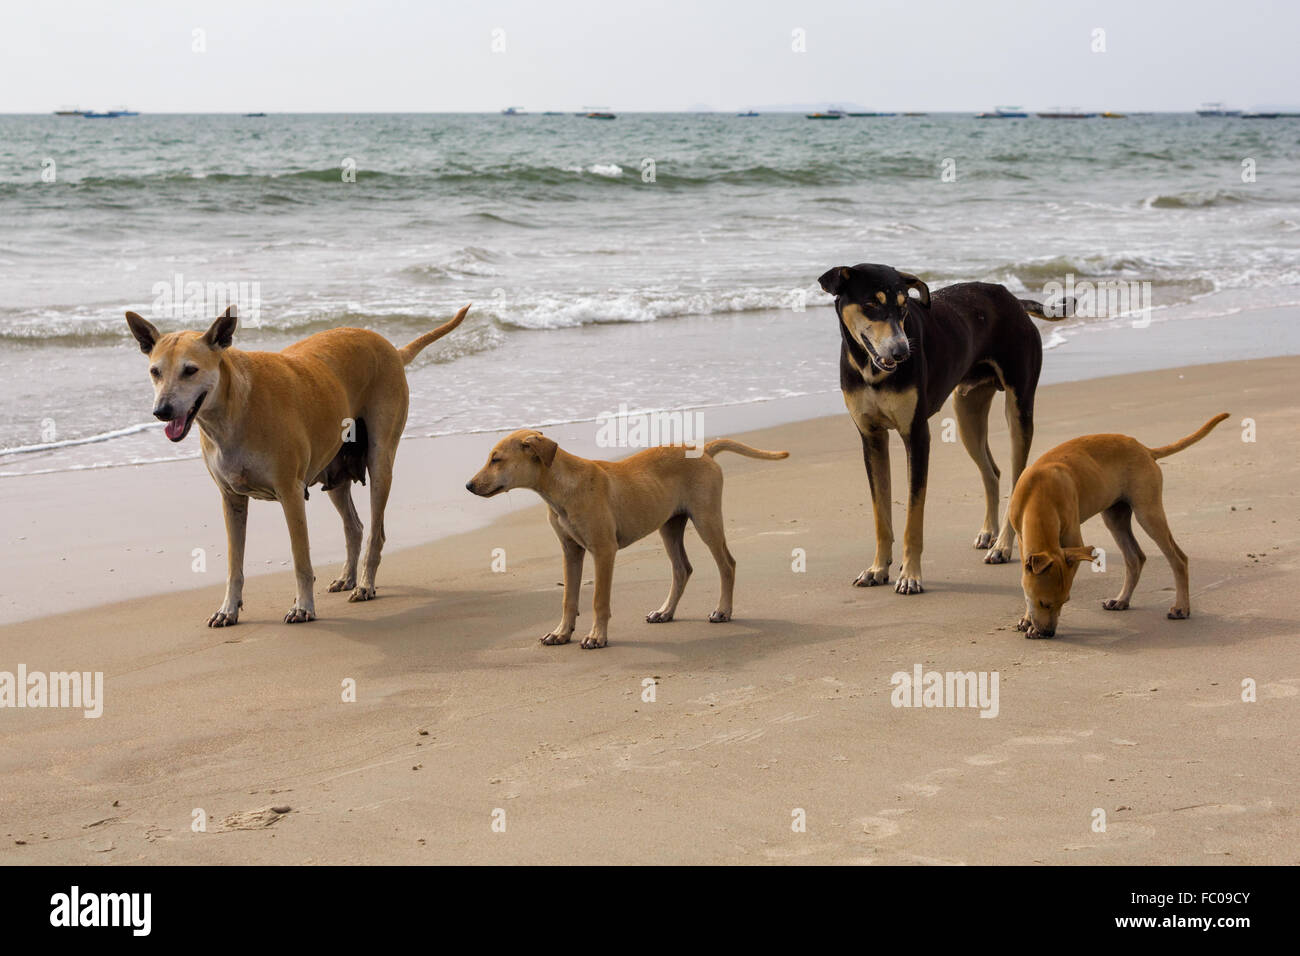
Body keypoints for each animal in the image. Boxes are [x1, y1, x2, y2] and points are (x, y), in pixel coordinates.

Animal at [126, 303, 470, 624]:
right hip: (335, 466)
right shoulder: (231, 499)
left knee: (376, 530)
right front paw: (228, 609)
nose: (162, 411)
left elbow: (301, 558)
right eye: (155, 371)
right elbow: (234, 563)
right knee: (354, 526)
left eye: (190, 370)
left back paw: (365, 584)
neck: (234, 407)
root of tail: (392, 350)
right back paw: (347, 577)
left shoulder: (290, 494)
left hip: (381, 457)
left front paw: (303, 606)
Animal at [470, 434, 790, 650]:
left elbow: (599, 599)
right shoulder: (570, 551)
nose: (468, 485)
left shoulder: (604, 551)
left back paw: (723, 610)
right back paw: (665, 612)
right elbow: (568, 597)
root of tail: (705, 450)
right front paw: (561, 633)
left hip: (706, 519)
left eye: (496, 459)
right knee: (682, 569)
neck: (562, 487)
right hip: (670, 526)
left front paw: (596, 636)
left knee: (727, 564)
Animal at [821, 261, 1066, 590]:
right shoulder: (871, 439)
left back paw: (1002, 546)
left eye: (903, 308)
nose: (901, 352)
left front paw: (910, 575)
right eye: (871, 304)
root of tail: (1013, 299)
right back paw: (989, 533)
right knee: (992, 471)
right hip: (967, 414)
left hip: (1019, 409)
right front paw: (878, 569)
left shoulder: (916, 436)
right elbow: (880, 515)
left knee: (1016, 478)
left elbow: (913, 517)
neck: (871, 368)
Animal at [1008, 416, 1232, 639]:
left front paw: (1032, 625)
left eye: (1065, 601)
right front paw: (1027, 619)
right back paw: (1122, 599)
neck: (1040, 493)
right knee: (1135, 558)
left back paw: (1181, 608)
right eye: (1043, 603)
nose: (1048, 633)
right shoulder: (1024, 540)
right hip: (1115, 519)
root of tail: (1145, 449)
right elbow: (1026, 582)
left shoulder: (1073, 542)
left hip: (1148, 514)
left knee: (1178, 559)